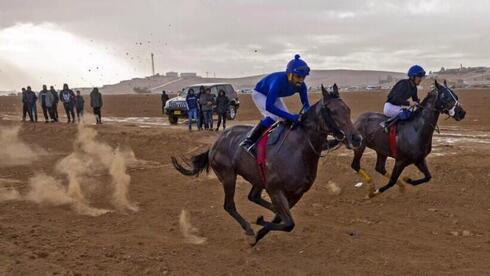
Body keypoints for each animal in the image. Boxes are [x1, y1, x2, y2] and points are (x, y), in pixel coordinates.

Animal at [170, 84, 362, 246]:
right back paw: (248, 228)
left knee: (253, 197)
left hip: (257, 178)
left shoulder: (296, 193)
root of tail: (215, 143)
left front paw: (261, 228)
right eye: (332, 111)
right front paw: (258, 227)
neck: (299, 149)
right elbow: (289, 223)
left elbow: (284, 220)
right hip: (228, 176)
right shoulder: (275, 189)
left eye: (348, 110)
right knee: (229, 205)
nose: (356, 138)